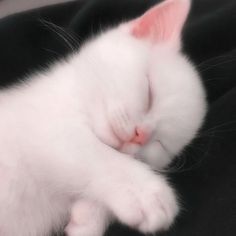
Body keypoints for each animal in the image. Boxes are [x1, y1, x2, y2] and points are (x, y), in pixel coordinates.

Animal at [0, 0, 205, 235]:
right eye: (149, 94)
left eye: (161, 143)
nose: (141, 135)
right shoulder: (47, 125)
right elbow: (96, 154)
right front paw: (147, 193)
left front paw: (88, 218)